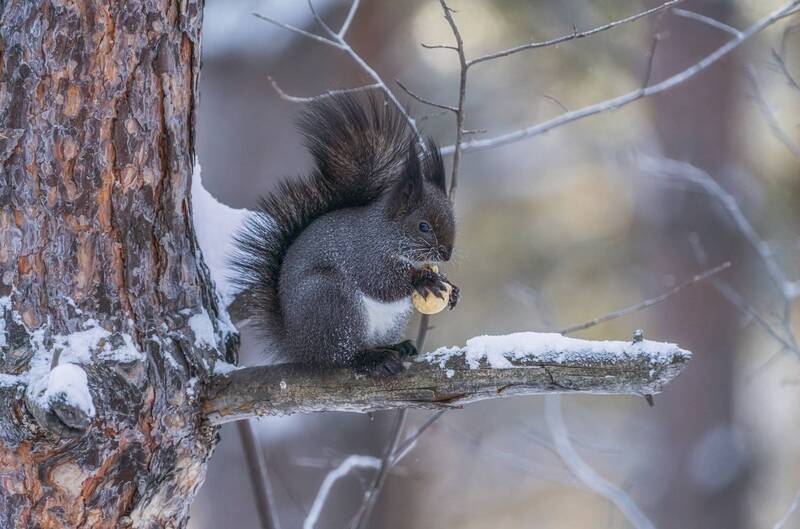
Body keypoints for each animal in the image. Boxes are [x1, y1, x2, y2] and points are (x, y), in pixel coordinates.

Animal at [231, 94, 459, 376]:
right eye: (423, 226)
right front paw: (424, 280)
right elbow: (382, 284)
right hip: (333, 303)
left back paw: (397, 347)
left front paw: (451, 287)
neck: (387, 235)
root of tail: (297, 345)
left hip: (388, 321)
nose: (446, 254)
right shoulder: (365, 256)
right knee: (340, 356)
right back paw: (371, 359)